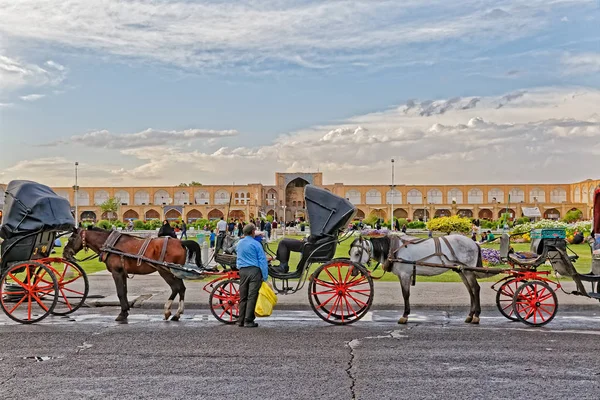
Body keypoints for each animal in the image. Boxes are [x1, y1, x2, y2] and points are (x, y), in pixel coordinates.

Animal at [64, 228, 203, 322]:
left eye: (71, 238)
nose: (65, 253)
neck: (110, 245)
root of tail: (180, 242)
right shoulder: (122, 272)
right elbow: (124, 292)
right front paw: (125, 311)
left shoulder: (116, 272)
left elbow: (120, 292)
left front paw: (122, 313)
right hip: (174, 271)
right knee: (181, 288)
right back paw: (177, 313)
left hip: (165, 270)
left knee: (176, 288)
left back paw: (169, 310)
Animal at [350, 234, 494, 324]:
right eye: (350, 253)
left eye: (357, 253)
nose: (353, 271)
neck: (394, 249)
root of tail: (473, 242)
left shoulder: (405, 274)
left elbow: (405, 294)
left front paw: (405, 315)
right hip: (462, 270)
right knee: (470, 291)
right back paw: (470, 315)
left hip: (468, 269)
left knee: (475, 288)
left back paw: (476, 316)